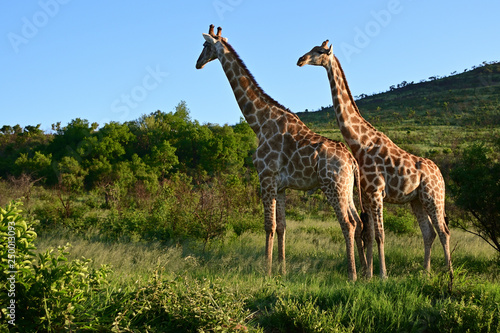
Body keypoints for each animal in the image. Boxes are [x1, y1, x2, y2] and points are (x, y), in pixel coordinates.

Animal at [197, 26, 370, 278]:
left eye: (205, 46)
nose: (197, 64)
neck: (259, 121)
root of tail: (352, 160)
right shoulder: (281, 186)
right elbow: (281, 227)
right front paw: (282, 268)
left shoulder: (266, 177)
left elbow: (268, 226)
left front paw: (266, 269)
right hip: (346, 187)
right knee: (359, 221)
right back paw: (367, 271)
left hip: (332, 186)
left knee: (348, 223)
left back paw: (352, 274)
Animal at [296, 40, 454, 278]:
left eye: (319, 51)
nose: (300, 60)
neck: (360, 144)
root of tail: (441, 175)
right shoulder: (368, 194)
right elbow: (369, 234)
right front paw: (368, 275)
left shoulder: (377, 192)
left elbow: (380, 234)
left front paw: (382, 275)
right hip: (416, 200)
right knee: (429, 233)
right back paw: (425, 272)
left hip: (433, 196)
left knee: (443, 231)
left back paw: (449, 272)